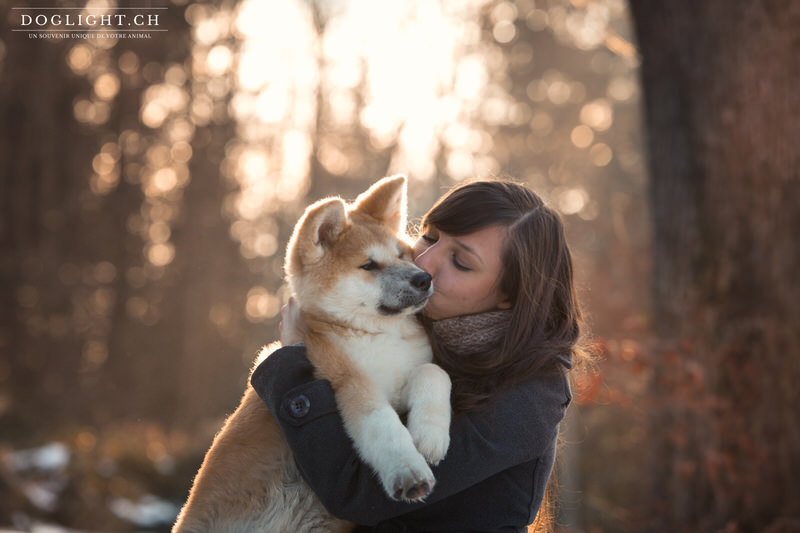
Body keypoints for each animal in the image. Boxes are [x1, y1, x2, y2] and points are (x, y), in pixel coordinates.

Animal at [173, 177, 454, 528]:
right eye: (368, 265)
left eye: (402, 254)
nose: (424, 278)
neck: (377, 335)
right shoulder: (347, 381)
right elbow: (384, 425)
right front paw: (408, 471)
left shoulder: (408, 374)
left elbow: (434, 372)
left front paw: (429, 435)